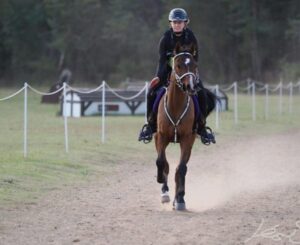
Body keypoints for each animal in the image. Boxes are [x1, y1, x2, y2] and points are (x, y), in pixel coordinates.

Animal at [155, 43, 199, 211]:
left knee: (179, 169)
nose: (191, 86)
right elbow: (162, 162)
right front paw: (162, 186)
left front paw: (180, 199)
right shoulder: (160, 136)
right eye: (178, 65)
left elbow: (181, 169)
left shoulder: (187, 139)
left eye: (194, 65)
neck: (175, 106)